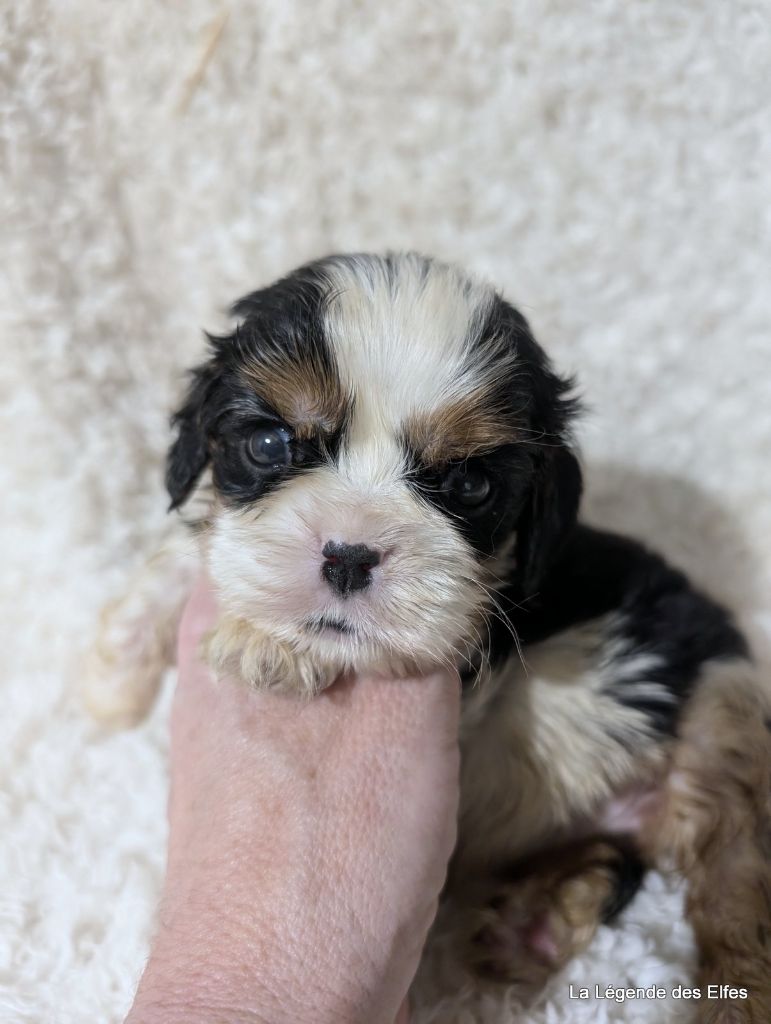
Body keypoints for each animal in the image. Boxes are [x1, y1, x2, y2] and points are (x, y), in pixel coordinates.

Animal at [83, 251, 769, 1019]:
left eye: (469, 484)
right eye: (267, 443)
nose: (348, 555)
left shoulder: (474, 632)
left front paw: (271, 644)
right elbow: (189, 552)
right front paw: (113, 680)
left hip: (723, 702)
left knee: (734, 879)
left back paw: (734, 995)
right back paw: (539, 916)